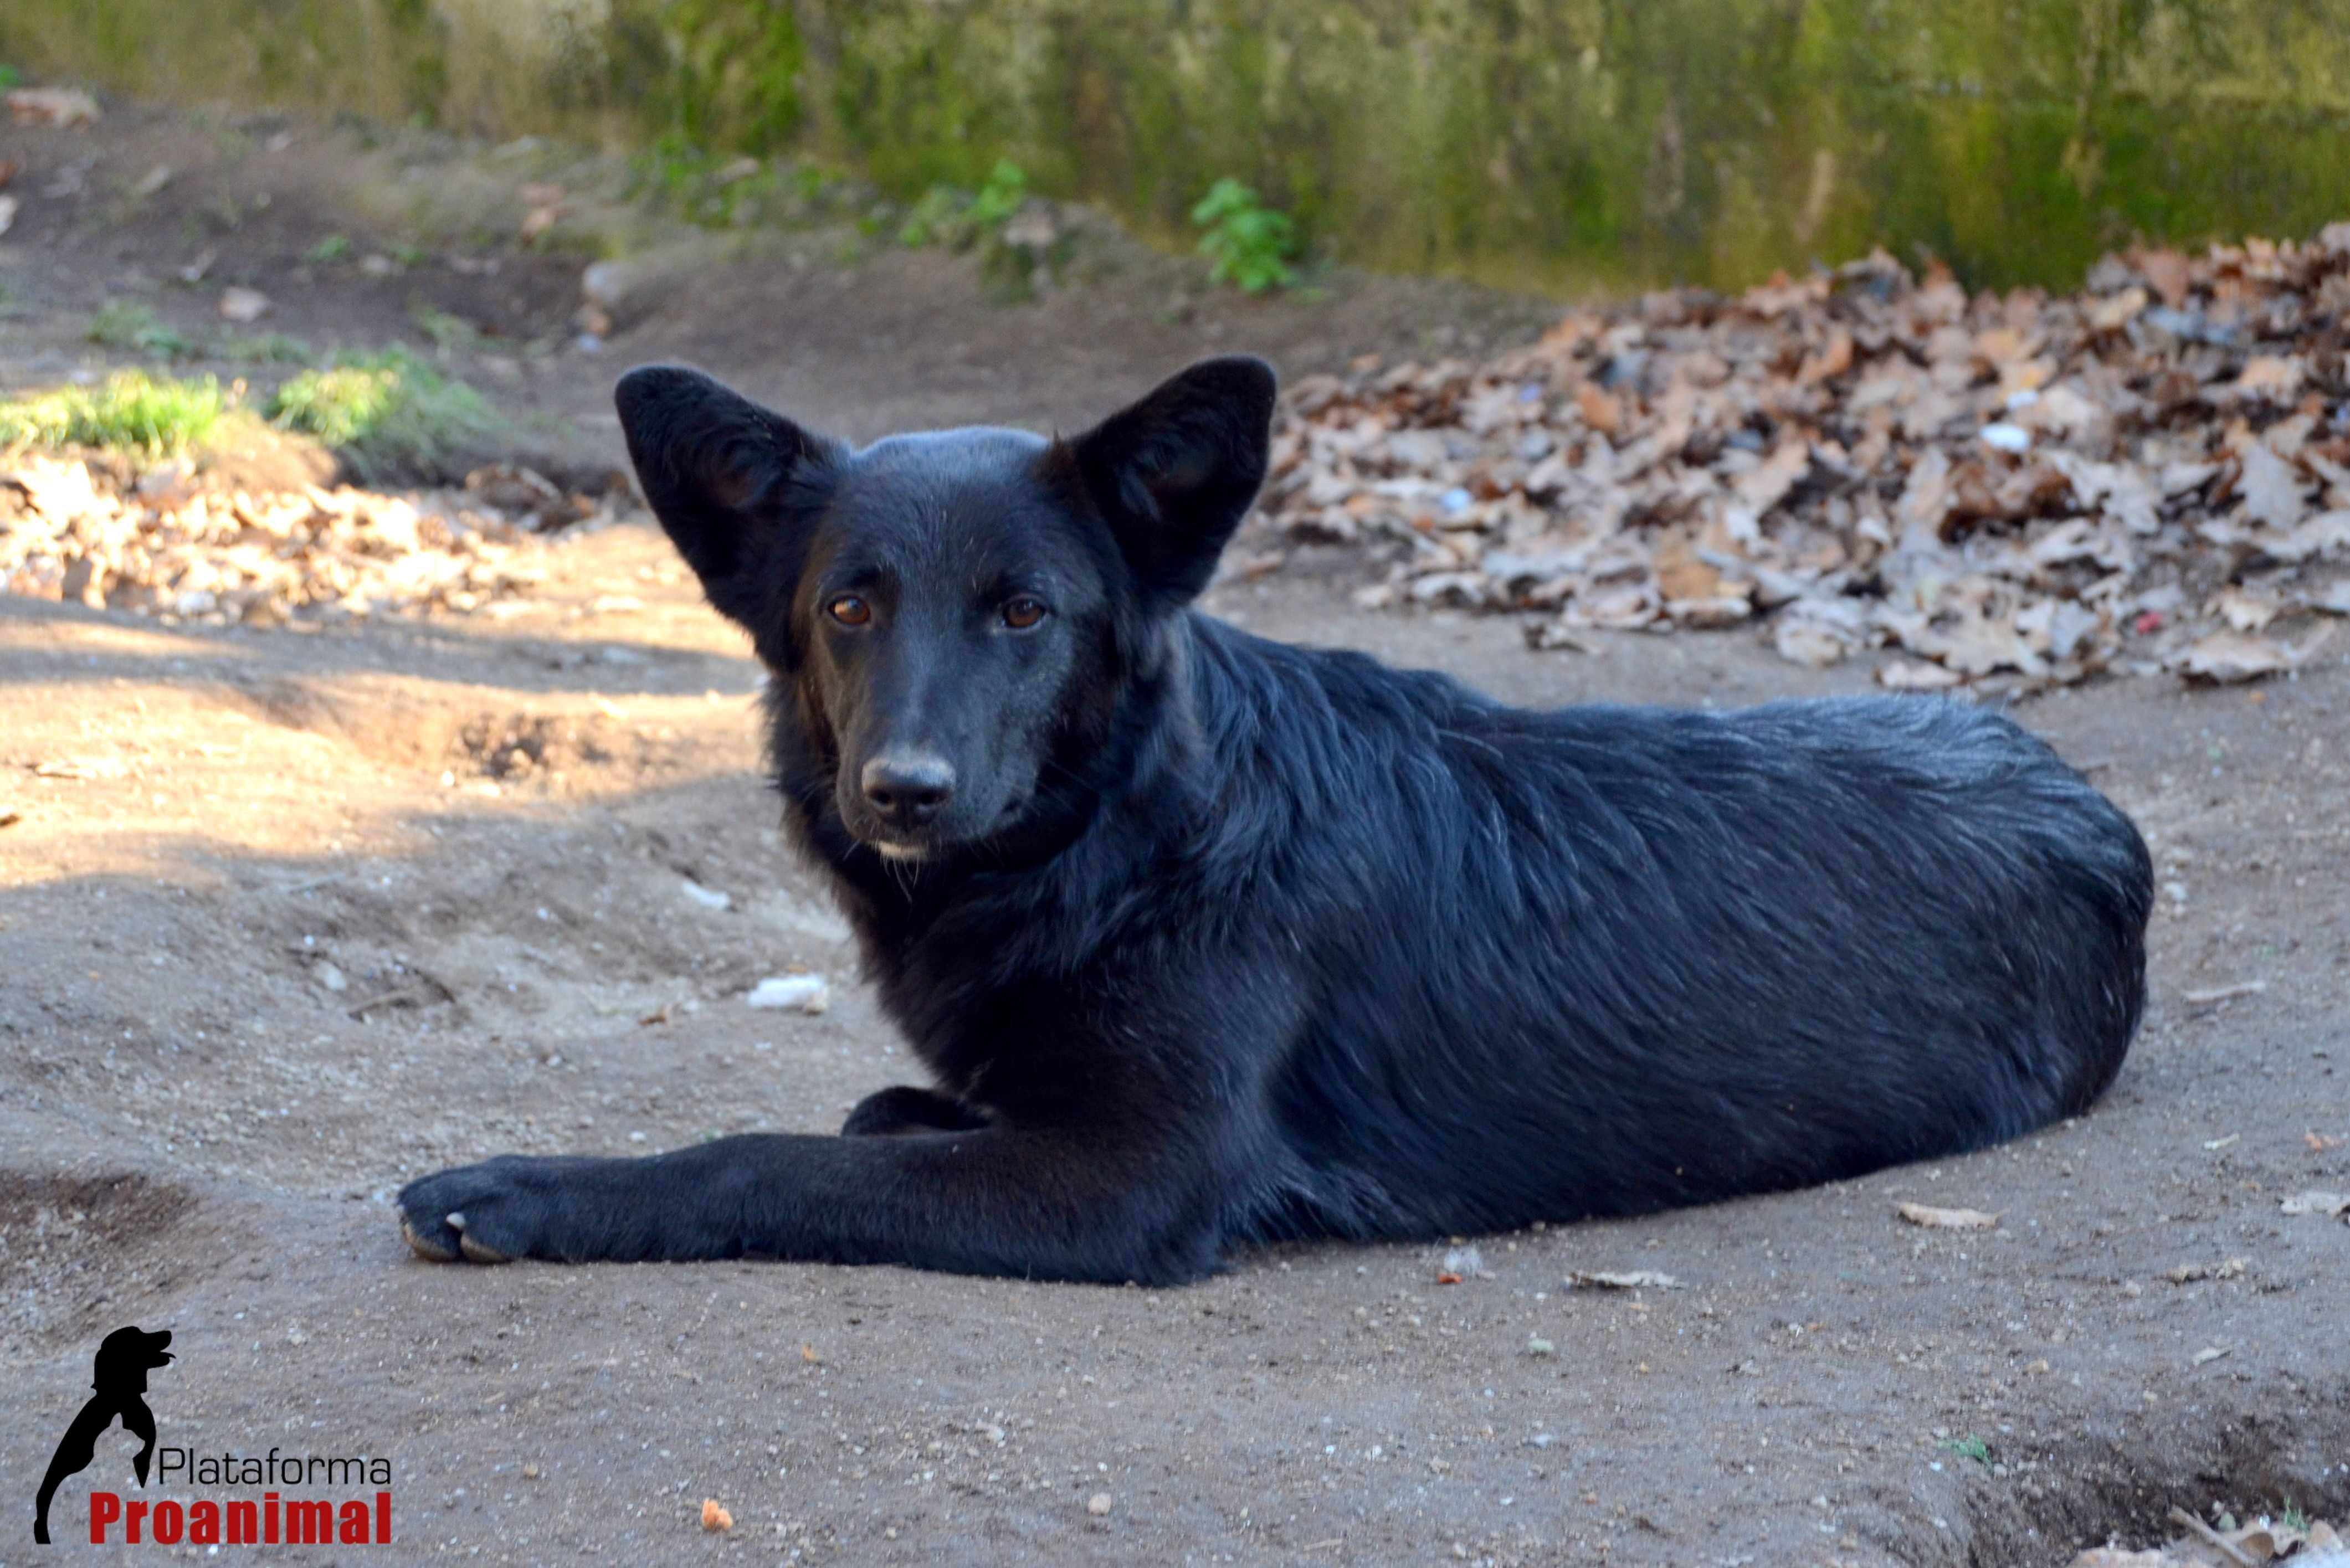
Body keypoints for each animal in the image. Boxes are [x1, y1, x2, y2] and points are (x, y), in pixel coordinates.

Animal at [399, 359, 2152, 1288]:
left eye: (1025, 610)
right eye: (849, 605)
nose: (903, 790)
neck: (1127, 843)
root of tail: (2090, 805)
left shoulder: (1122, 1184)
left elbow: (767, 1154)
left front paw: (528, 1188)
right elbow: (870, 1116)